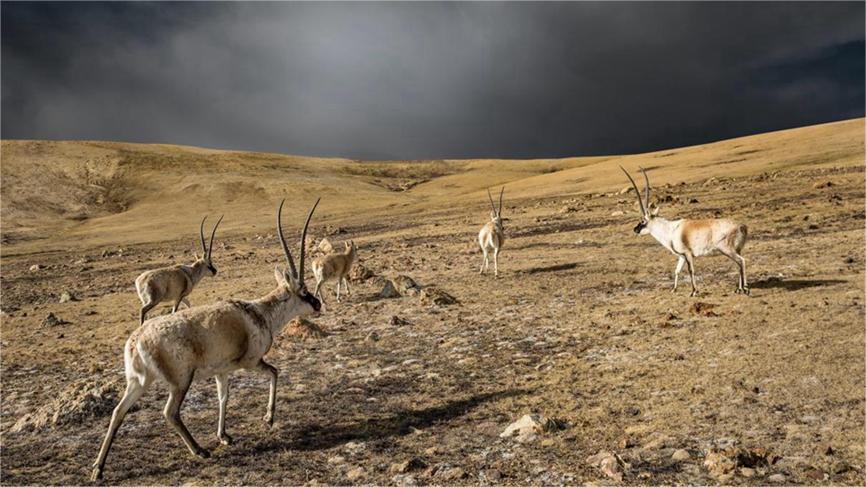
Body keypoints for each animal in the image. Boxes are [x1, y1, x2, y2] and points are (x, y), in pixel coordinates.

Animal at [91, 197, 322, 480]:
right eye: (303, 291)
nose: (318, 304)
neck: (259, 312)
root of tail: (136, 342)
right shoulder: (252, 362)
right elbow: (274, 372)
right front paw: (268, 419)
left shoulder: (222, 371)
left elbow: (224, 397)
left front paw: (224, 435)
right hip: (181, 380)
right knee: (170, 413)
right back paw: (199, 450)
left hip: (138, 382)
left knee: (118, 412)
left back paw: (98, 469)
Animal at [616, 167, 744, 298]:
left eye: (643, 221)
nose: (635, 229)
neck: (670, 230)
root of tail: (741, 227)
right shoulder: (682, 256)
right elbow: (677, 270)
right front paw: (674, 289)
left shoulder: (688, 254)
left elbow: (691, 270)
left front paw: (694, 291)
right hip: (735, 250)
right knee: (739, 263)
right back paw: (739, 288)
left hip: (726, 249)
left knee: (741, 261)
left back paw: (742, 289)